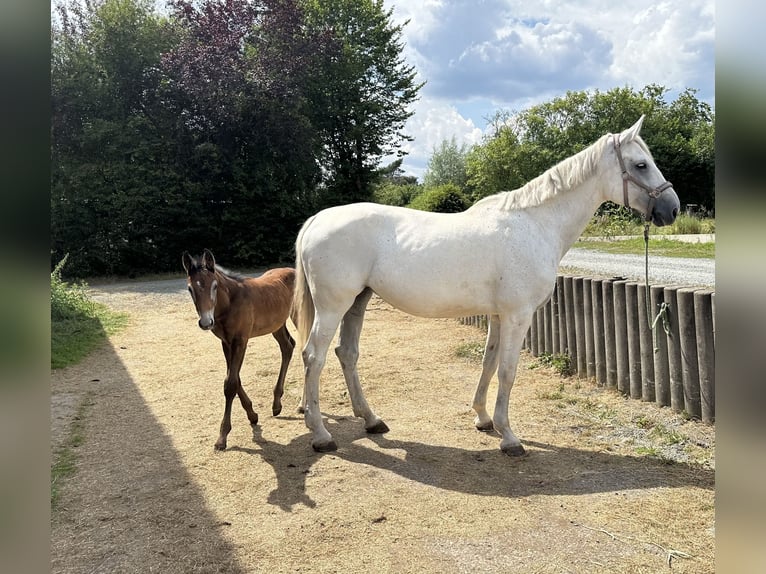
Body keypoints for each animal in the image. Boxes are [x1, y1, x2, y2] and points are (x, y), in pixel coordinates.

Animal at [296, 117, 680, 456]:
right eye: (641, 164)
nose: (672, 209)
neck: (535, 223)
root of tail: (317, 219)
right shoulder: (517, 315)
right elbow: (508, 371)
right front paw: (509, 437)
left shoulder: (497, 316)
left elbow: (489, 363)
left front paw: (483, 419)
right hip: (333, 306)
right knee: (314, 356)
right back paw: (321, 435)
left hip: (357, 302)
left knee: (346, 354)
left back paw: (371, 420)